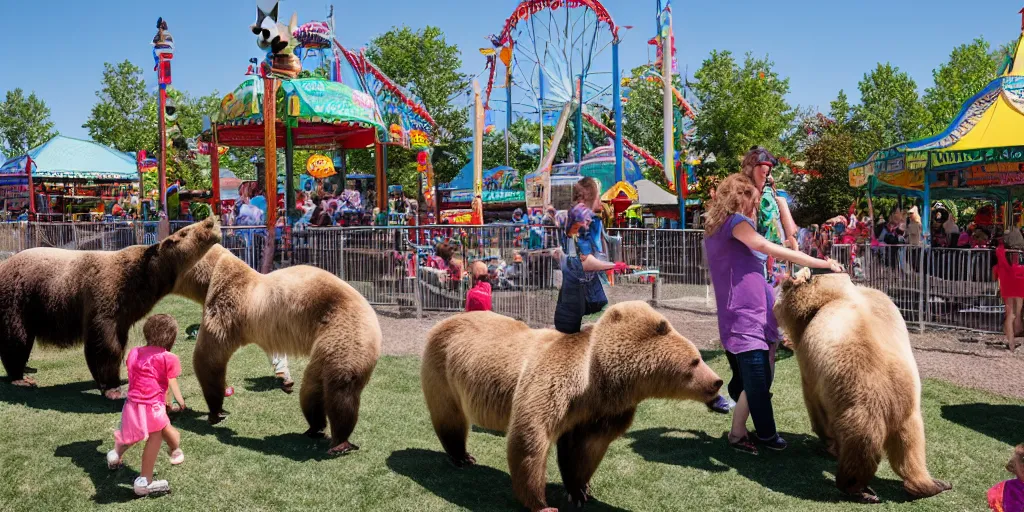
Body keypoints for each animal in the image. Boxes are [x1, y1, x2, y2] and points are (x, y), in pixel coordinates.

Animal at [0, 218, 222, 397]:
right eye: (186, 231)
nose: (210, 221)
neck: (141, 278)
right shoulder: (103, 298)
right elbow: (104, 344)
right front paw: (113, 387)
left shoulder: (125, 312)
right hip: (18, 300)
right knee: (17, 338)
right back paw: (20, 376)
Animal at [174, 243, 382, 456]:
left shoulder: (228, 309)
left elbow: (208, 358)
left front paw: (215, 412)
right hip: (325, 348)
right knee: (312, 387)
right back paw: (315, 427)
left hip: (345, 332)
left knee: (341, 386)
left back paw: (340, 442)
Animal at [419, 299, 724, 512]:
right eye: (696, 361)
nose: (718, 382)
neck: (600, 381)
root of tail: (445, 320)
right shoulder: (555, 385)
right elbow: (531, 438)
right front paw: (542, 502)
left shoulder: (600, 412)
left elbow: (585, 449)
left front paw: (580, 489)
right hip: (442, 374)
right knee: (450, 419)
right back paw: (462, 456)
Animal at [774, 268, 950, 503]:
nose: (783, 280)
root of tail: (893, 401)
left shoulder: (810, 362)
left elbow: (813, 401)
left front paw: (826, 442)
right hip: (908, 413)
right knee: (911, 448)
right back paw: (932, 484)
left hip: (861, 403)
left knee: (860, 447)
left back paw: (859, 489)